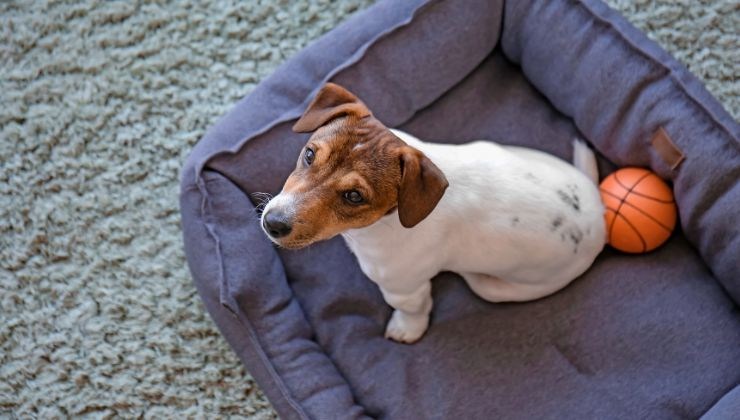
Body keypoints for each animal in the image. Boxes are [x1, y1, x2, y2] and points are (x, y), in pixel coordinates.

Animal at [264, 83, 604, 344]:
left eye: (354, 196)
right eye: (309, 154)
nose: (272, 223)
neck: (388, 219)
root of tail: (598, 212)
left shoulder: (405, 288)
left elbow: (412, 310)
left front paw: (406, 330)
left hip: (495, 289)